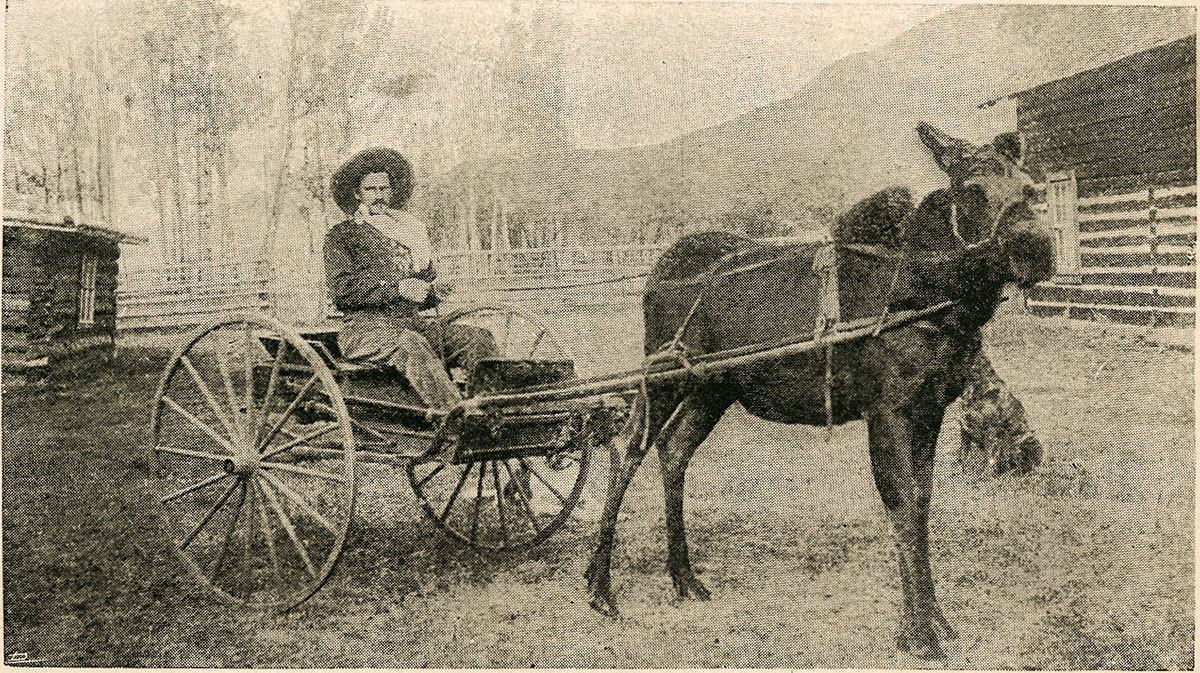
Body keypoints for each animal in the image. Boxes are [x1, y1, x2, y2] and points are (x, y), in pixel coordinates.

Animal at [585, 120, 1056, 657]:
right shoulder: (889, 408)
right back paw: (600, 588)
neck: (934, 298)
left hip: (714, 388)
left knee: (674, 447)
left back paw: (684, 577)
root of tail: (654, 275)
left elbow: (920, 503)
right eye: (972, 189)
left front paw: (936, 621)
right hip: (665, 376)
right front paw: (918, 633)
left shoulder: (930, 407)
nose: (1038, 250)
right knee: (627, 449)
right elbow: (902, 506)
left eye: (1031, 188)